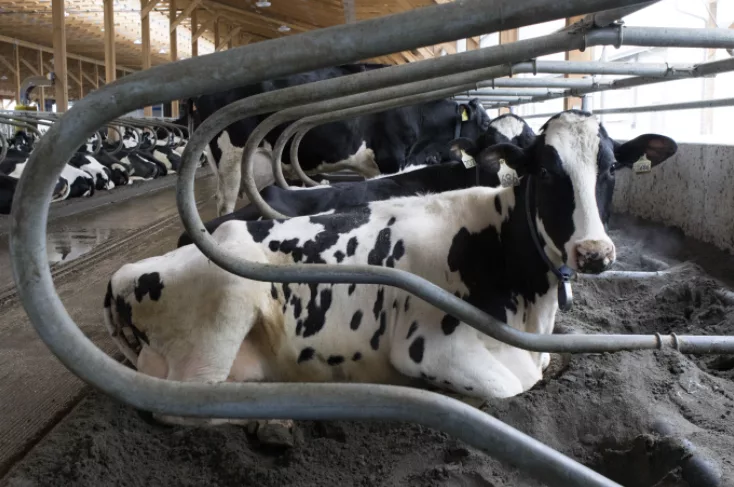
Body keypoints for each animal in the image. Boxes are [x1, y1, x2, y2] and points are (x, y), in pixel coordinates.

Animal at [104, 111, 677, 440]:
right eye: (545, 169)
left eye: (609, 168)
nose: (594, 252)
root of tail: (127, 273)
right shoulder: (428, 348)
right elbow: (510, 390)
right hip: (224, 308)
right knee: (183, 408)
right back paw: (281, 420)